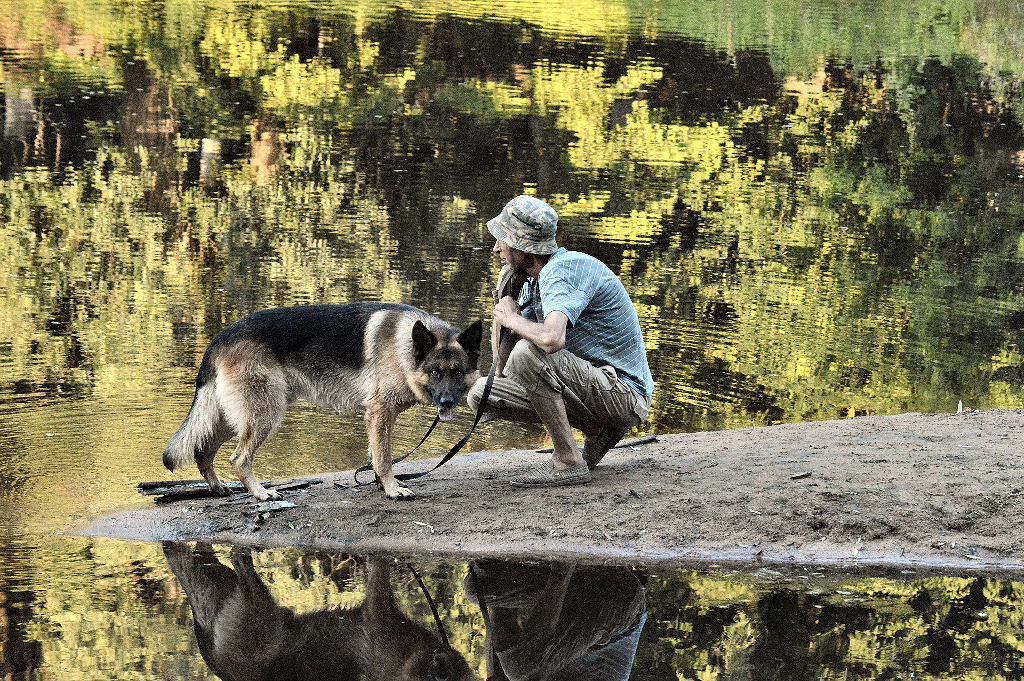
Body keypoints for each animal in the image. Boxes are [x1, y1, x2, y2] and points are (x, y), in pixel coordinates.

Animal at [162, 540, 475, 679]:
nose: (442, 661)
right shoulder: (377, 618)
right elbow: (380, 576)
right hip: (260, 616)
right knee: (241, 568)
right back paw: (243, 555)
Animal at [163, 303, 483, 499]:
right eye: (435, 372)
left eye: (457, 373)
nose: (447, 403)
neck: (405, 347)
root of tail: (223, 335)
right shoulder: (380, 412)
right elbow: (383, 458)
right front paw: (392, 489)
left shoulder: (378, 417)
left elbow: (375, 455)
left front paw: (381, 485)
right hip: (264, 414)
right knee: (238, 459)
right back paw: (261, 493)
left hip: (234, 417)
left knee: (202, 450)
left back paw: (217, 487)